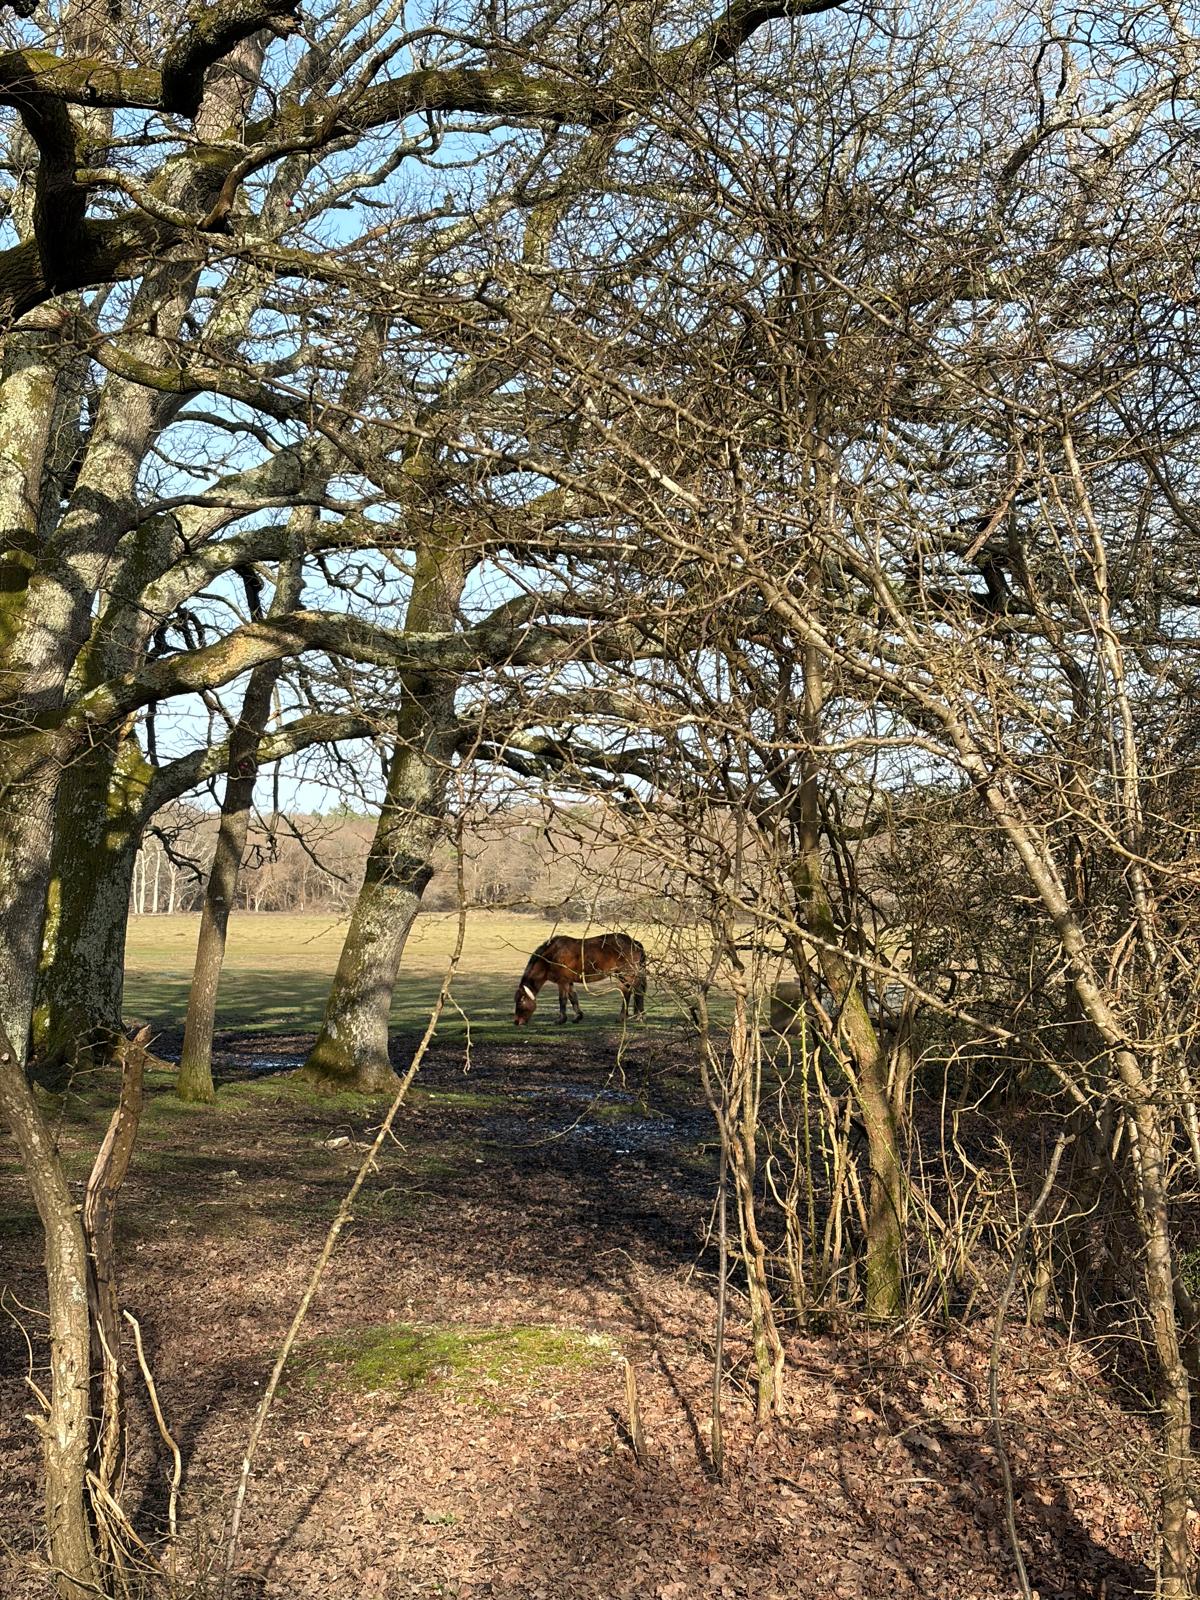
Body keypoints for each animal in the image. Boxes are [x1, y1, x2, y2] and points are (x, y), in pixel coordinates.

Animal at [513, 933, 647, 1026]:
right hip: (623, 975)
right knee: (631, 992)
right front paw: (578, 1017)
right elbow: (573, 998)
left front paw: (560, 1020)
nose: (516, 1022)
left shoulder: (562, 982)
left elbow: (562, 1000)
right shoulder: (569, 982)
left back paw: (633, 1017)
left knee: (633, 991)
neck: (551, 956)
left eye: (520, 1002)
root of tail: (635, 943)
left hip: (627, 974)